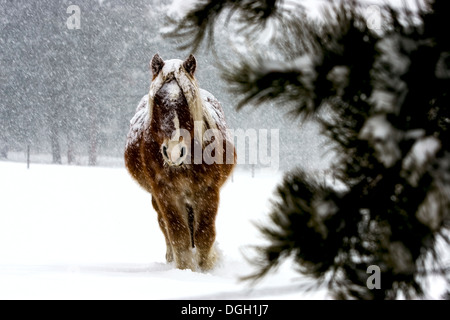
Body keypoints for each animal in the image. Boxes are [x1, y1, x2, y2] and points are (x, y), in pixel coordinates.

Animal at [123, 53, 236, 272]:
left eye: (185, 101)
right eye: (158, 102)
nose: (174, 152)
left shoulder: (208, 191)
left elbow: (204, 235)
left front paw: (206, 268)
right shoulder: (166, 193)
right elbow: (178, 235)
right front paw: (185, 269)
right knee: (164, 227)